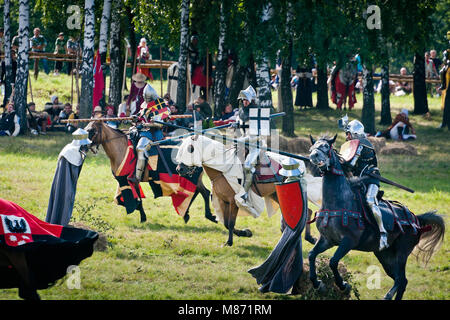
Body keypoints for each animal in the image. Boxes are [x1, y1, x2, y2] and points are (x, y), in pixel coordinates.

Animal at [85, 121, 216, 224]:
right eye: (86, 129)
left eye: (92, 131)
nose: (85, 146)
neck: (121, 148)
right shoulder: (123, 182)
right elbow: (119, 200)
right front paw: (139, 211)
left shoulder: (131, 181)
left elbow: (137, 200)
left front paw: (142, 216)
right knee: (202, 192)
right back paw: (190, 214)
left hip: (192, 176)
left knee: (202, 192)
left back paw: (200, 215)